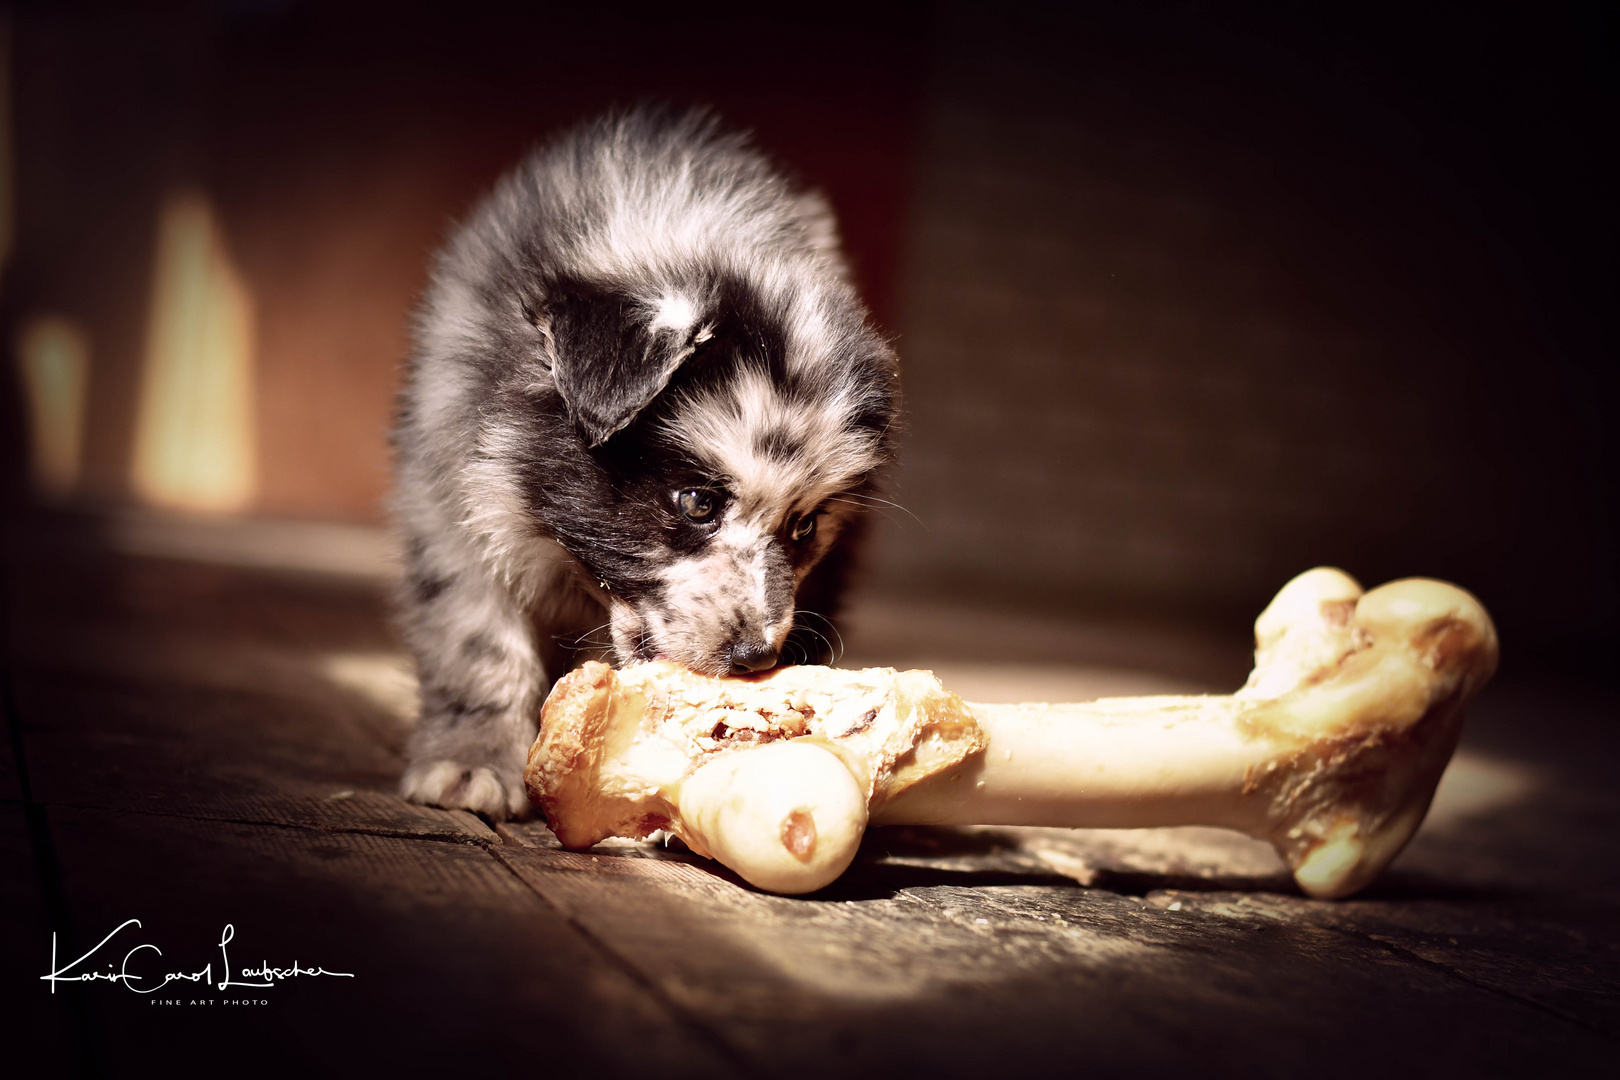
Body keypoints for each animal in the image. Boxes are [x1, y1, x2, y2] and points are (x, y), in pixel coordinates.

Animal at [392, 111, 900, 819]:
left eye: (804, 528)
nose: (755, 658)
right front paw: (473, 760)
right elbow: (477, 643)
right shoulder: (453, 495)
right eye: (697, 502)